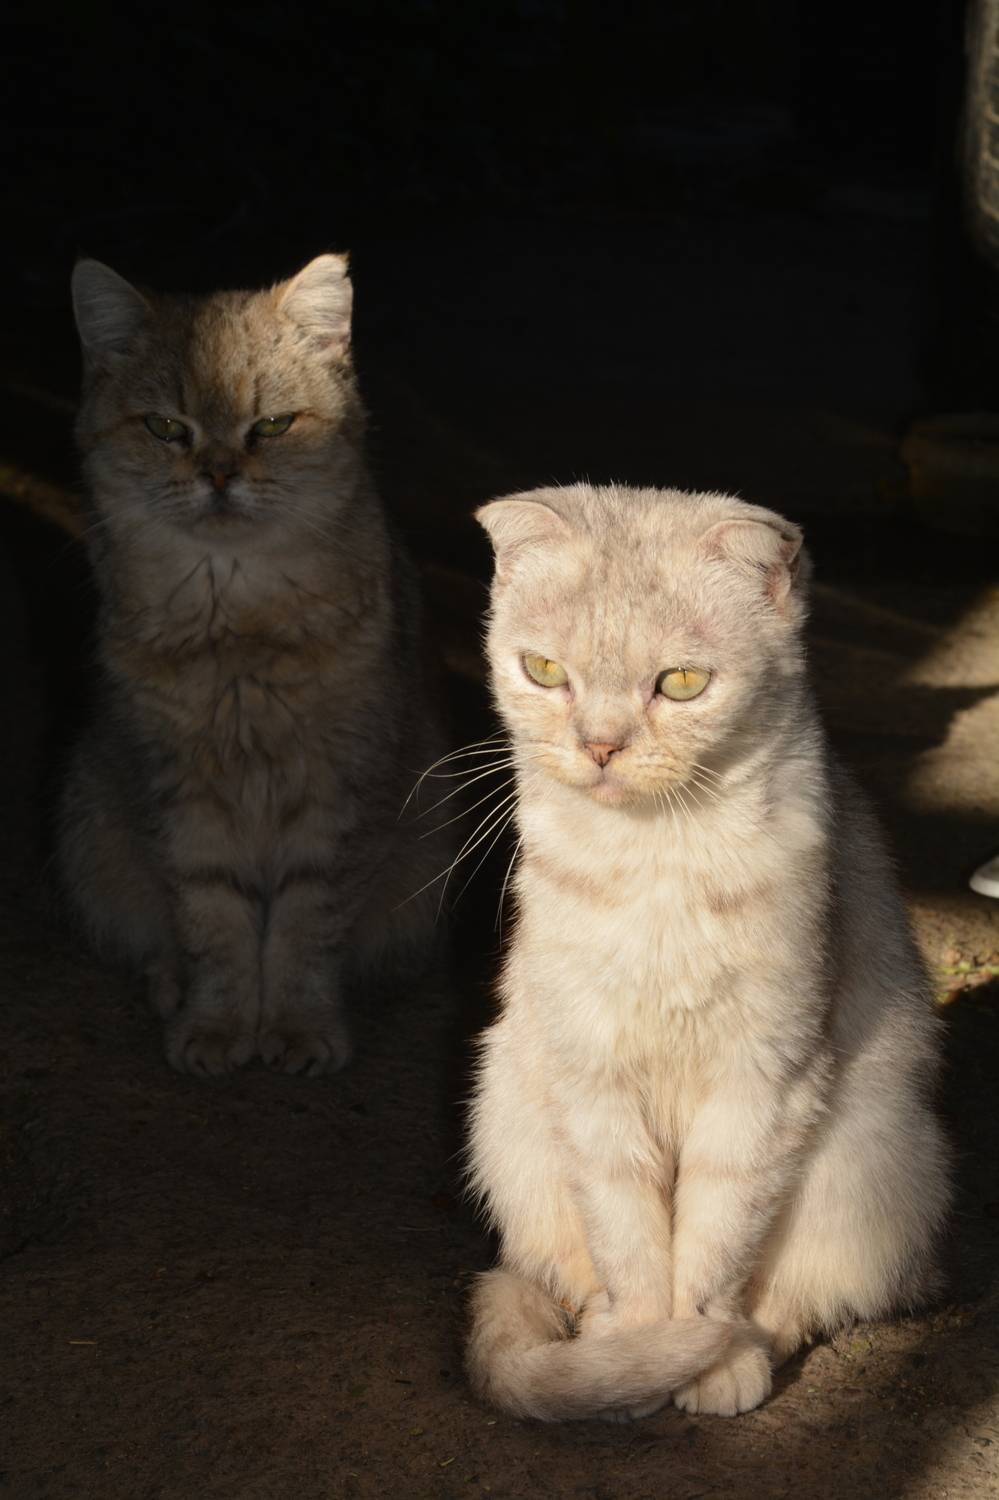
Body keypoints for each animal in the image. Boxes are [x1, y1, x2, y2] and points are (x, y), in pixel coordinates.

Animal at [58, 254, 447, 1077]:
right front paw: (218, 1023)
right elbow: (213, 924)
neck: (236, 629)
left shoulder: (339, 797)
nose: (218, 474)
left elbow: (305, 932)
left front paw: (298, 1026)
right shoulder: (179, 796)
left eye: (271, 425)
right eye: (166, 427)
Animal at [466, 482, 950, 1422]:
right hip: (509, 1119)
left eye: (680, 684)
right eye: (543, 672)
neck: (653, 859)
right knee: (570, 1274)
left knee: (805, 1293)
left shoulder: (762, 1080)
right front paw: (638, 1351)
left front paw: (705, 1355)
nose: (600, 745)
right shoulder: (590, 1079)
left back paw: (751, 1343)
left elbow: (717, 1239)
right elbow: (627, 1240)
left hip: (874, 1156)